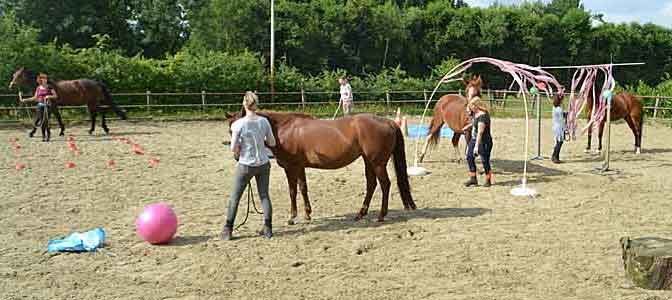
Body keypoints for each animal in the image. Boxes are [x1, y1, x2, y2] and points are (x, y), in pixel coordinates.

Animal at [226, 110, 414, 223]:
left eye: (241, 130)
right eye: (230, 131)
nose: (236, 156)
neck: (283, 130)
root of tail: (389, 122)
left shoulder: (291, 167)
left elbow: (293, 191)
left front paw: (292, 217)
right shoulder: (300, 167)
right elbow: (303, 188)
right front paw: (307, 214)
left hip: (377, 163)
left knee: (385, 184)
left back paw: (381, 215)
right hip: (369, 161)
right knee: (371, 184)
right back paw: (361, 213)